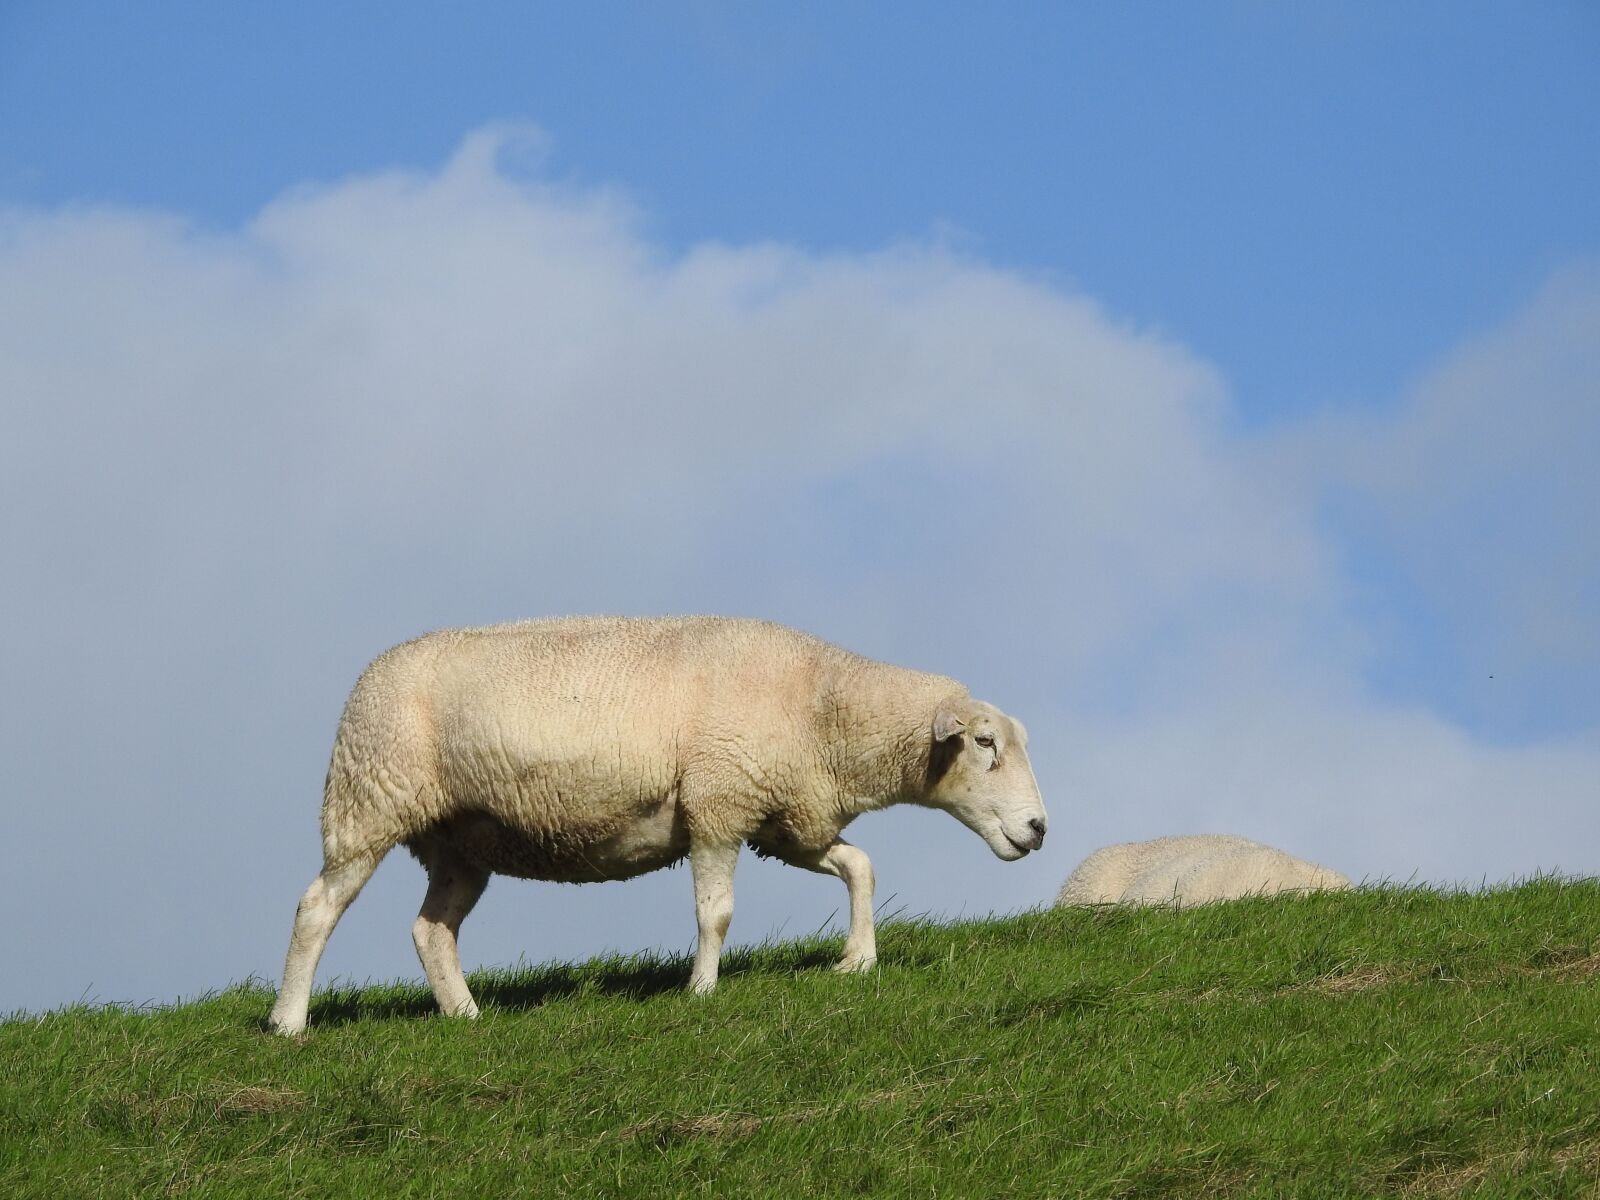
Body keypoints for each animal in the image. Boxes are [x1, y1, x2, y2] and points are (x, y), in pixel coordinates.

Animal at [268, 616, 1048, 1034]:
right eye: (984, 743)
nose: (1040, 828)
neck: (822, 708)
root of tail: (367, 675)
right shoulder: (717, 805)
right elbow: (717, 913)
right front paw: (701, 990)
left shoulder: (780, 819)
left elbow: (860, 866)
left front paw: (856, 960)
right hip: (368, 801)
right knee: (316, 909)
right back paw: (289, 1022)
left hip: (463, 840)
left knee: (432, 930)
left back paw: (465, 1016)